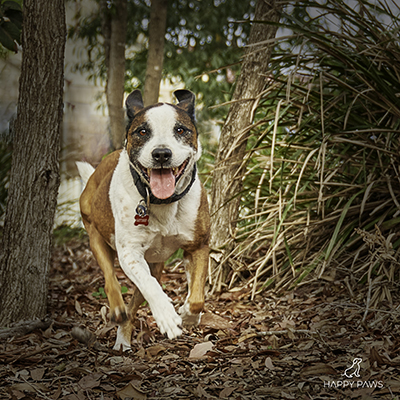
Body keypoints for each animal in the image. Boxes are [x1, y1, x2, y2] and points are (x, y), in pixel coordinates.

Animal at [76, 90, 211, 350]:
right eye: (142, 131)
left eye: (180, 130)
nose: (161, 154)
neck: (162, 202)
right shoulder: (130, 253)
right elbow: (150, 286)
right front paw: (167, 315)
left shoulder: (198, 245)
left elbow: (197, 297)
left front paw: (188, 315)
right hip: (96, 235)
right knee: (111, 280)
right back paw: (118, 311)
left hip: (155, 265)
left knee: (135, 302)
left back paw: (123, 337)